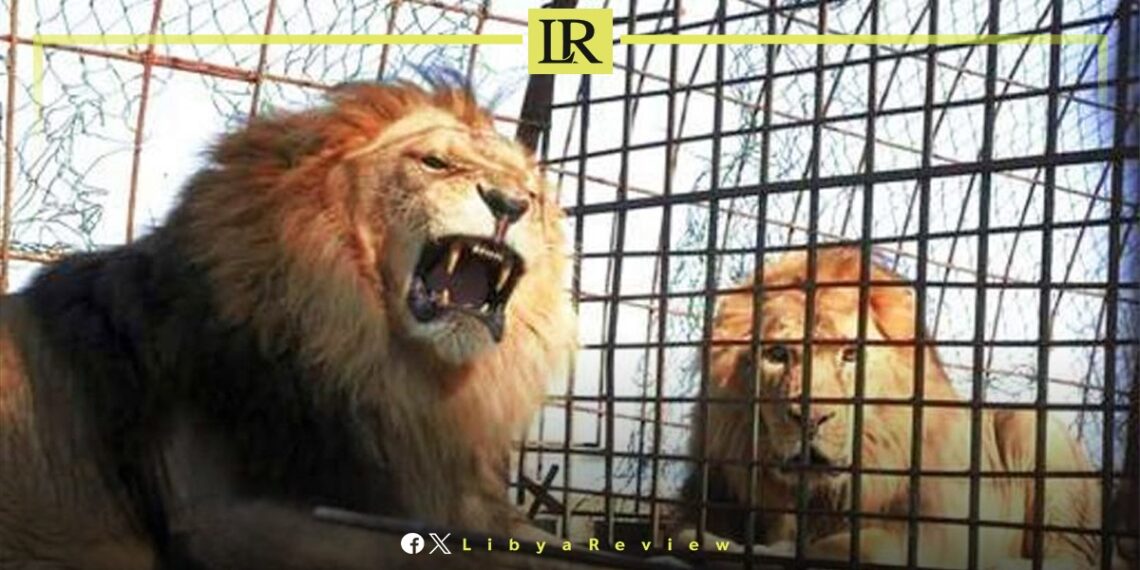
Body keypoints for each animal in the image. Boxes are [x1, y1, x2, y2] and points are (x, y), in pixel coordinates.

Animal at [673, 247, 1103, 570]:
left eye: (850, 354)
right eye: (778, 355)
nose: (810, 417)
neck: (819, 496)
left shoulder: (936, 528)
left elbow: (851, 545)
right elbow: (682, 534)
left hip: (1032, 428)